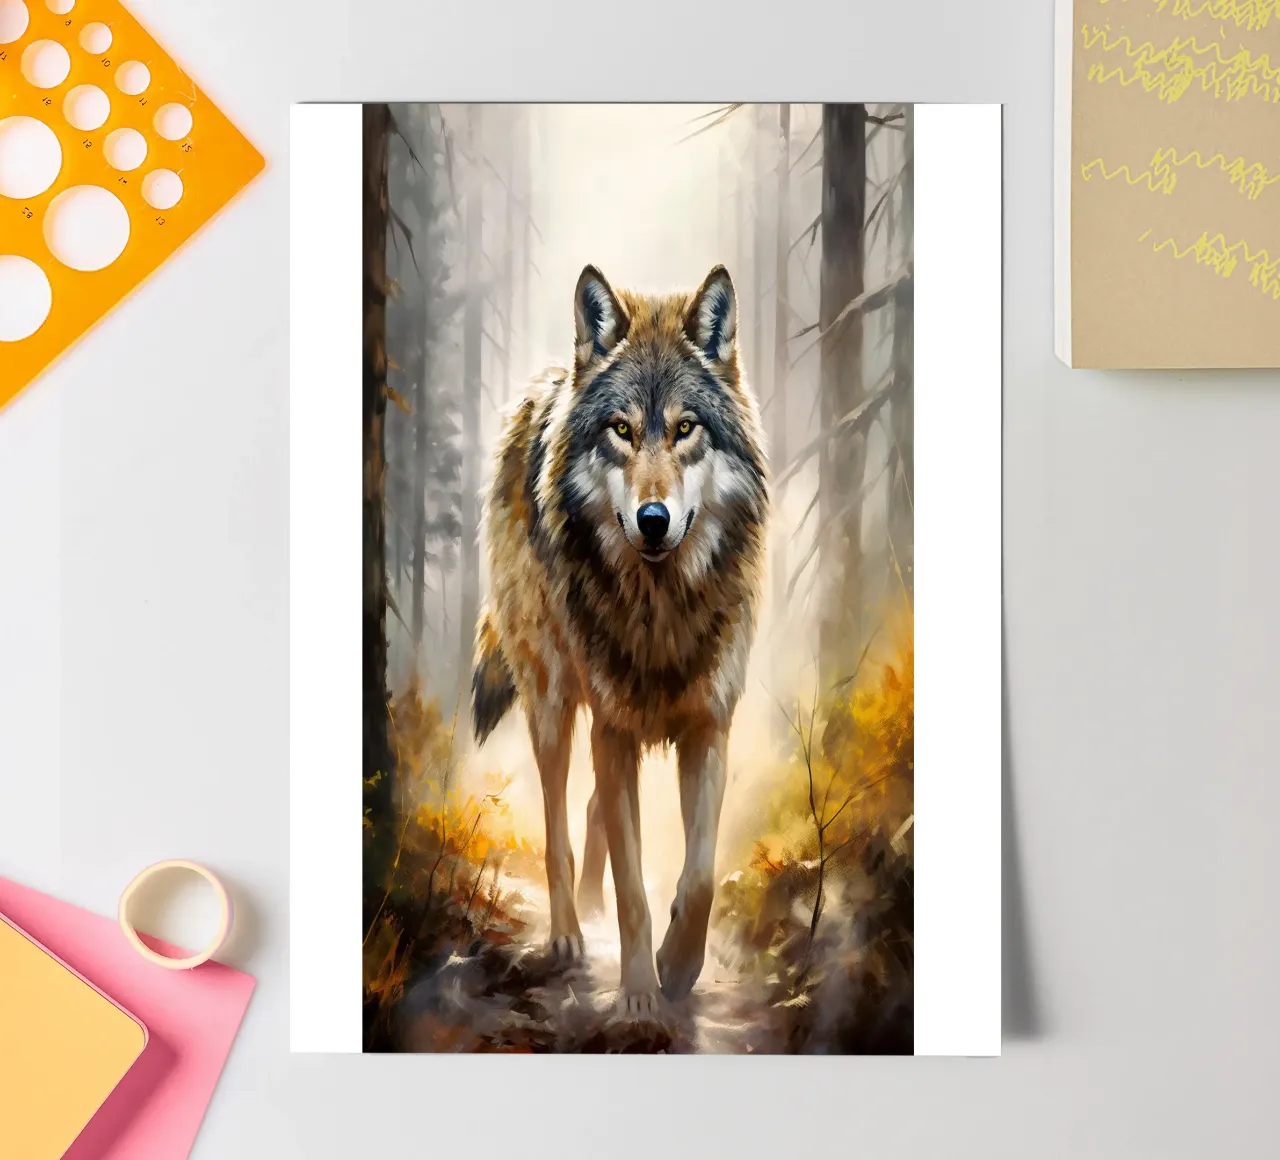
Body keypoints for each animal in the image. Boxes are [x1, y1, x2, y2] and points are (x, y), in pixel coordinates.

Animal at [470, 263, 768, 1014]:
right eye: (622, 430)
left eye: (686, 428)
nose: (653, 519)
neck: (659, 610)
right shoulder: (612, 727)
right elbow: (634, 886)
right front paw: (638, 995)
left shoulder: (708, 727)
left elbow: (699, 877)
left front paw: (678, 966)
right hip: (554, 704)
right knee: (558, 824)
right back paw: (569, 933)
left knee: (593, 808)